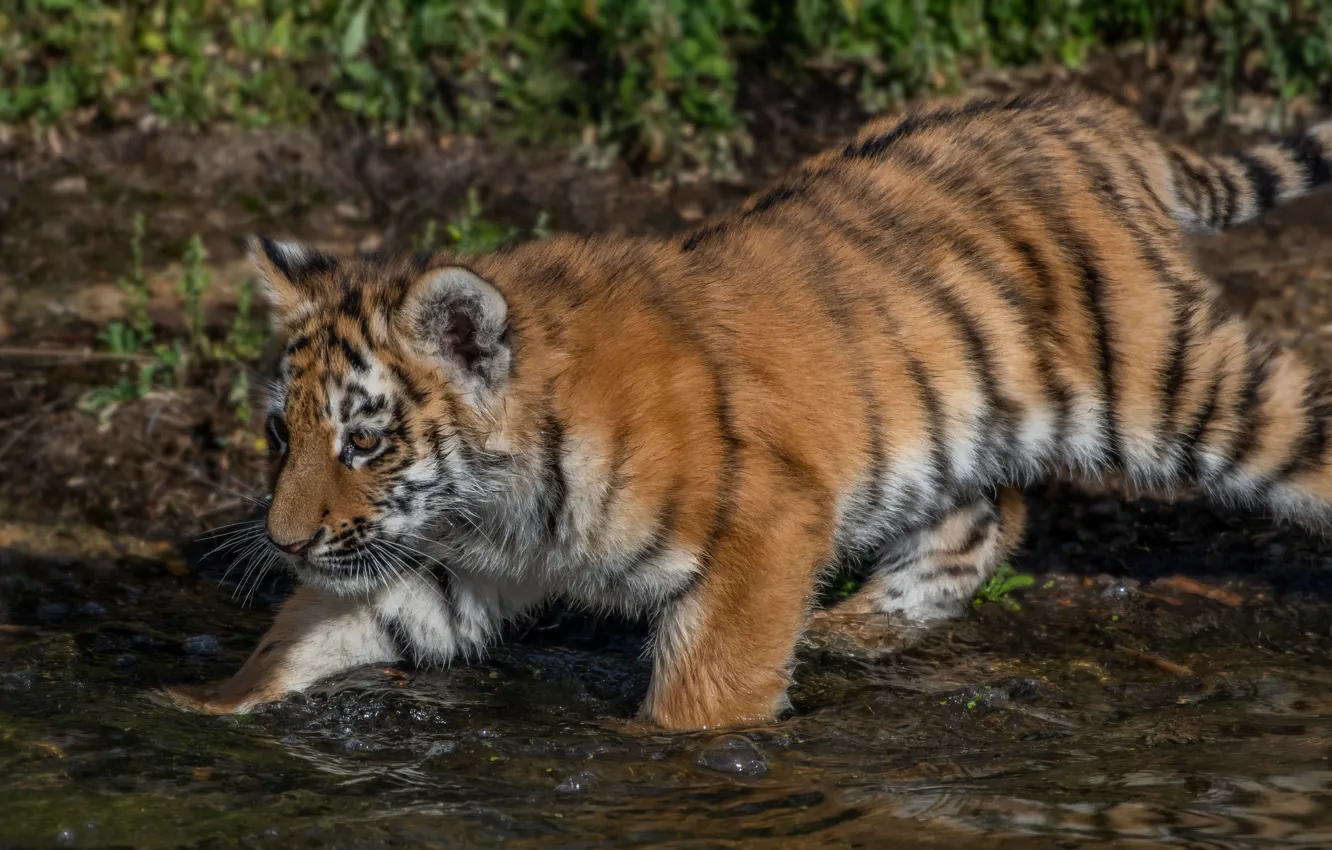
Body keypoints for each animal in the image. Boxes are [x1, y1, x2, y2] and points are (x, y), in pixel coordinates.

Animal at [164, 89, 1332, 731]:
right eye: (281, 433)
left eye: (365, 439)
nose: (283, 538)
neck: (494, 500)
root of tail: (1098, 119)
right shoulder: (445, 564)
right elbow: (310, 634)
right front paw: (194, 710)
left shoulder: (765, 520)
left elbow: (710, 681)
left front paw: (674, 750)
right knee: (985, 515)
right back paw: (859, 628)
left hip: (1176, 376)